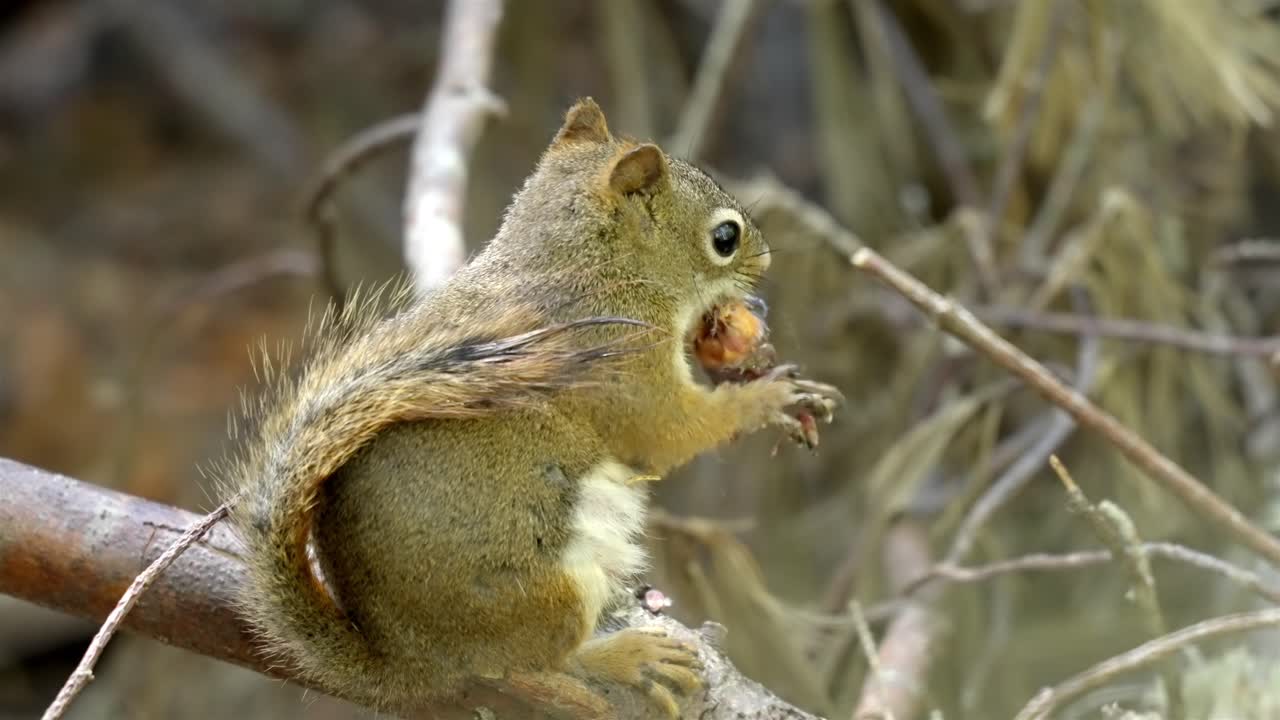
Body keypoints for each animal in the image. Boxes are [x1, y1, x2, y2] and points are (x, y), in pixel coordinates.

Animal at [220, 98, 842, 717]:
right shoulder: (624, 360)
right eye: (725, 237)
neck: (597, 264)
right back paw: (628, 660)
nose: (764, 268)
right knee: (539, 663)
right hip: (543, 593)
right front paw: (771, 397)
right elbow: (668, 430)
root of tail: (408, 660)